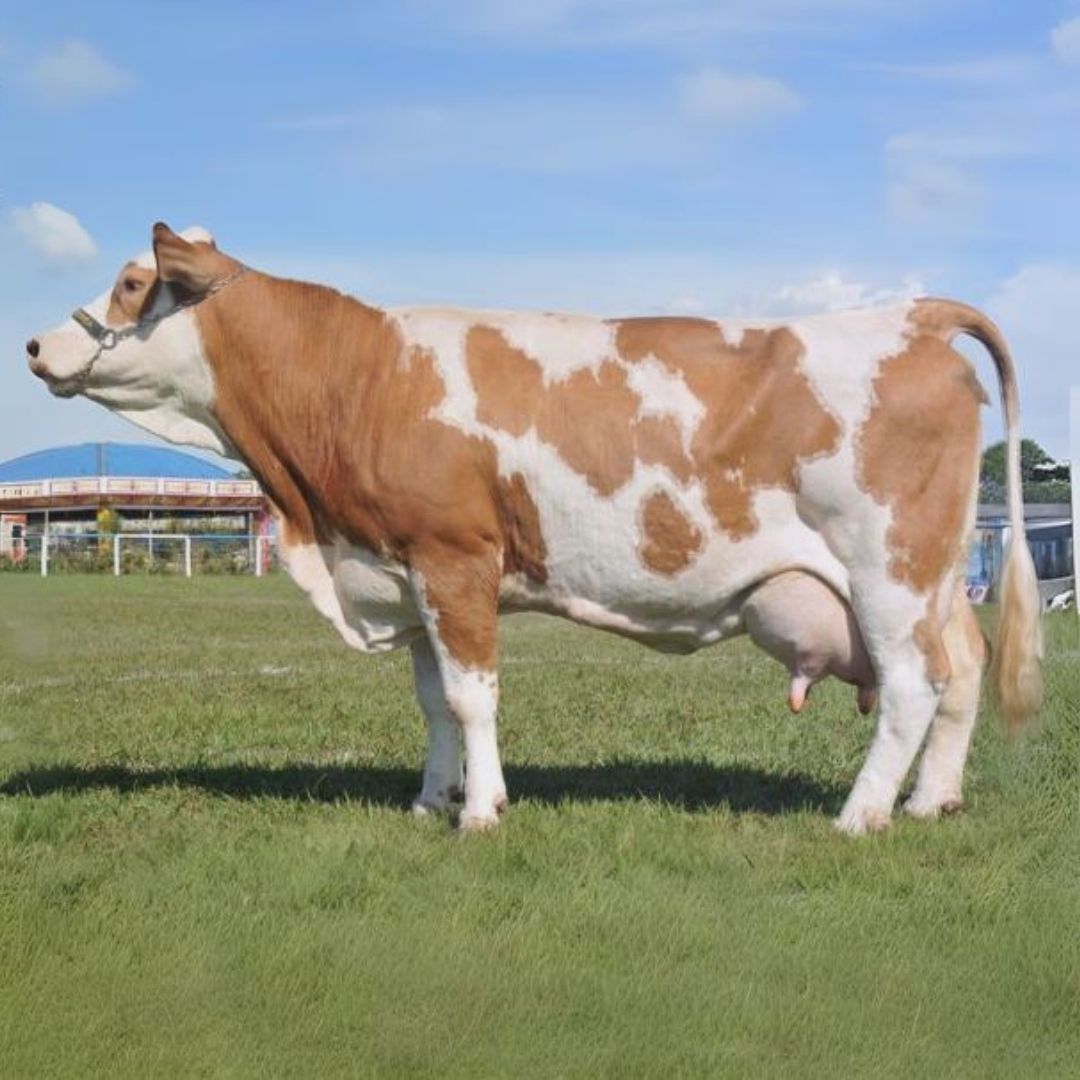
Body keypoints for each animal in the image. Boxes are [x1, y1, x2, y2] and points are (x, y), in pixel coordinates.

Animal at [26, 223, 1043, 834]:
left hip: (886, 567)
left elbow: (474, 697)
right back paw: (931, 804)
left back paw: (860, 815)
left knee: (913, 684)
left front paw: (481, 813)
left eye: (131, 283)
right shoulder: (406, 570)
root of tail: (910, 316)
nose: (36, 344)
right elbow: (434, 702)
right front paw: (429, 800)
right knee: (964, 668)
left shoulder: (456, 560)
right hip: (936, 573)